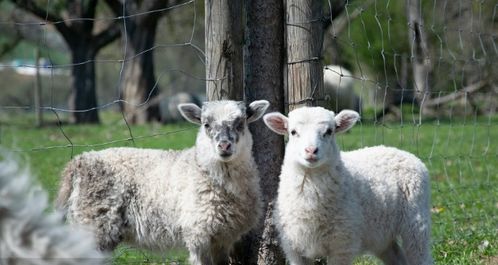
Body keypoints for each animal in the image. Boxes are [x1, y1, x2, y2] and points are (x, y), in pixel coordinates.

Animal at [55, 99, 268, 264]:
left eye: (241, 122)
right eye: (206, 124)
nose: (224, 146)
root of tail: (78, 162)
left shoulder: (223, 238)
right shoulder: (198, 234)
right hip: (92, 225)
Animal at [264, 106, 432, 262]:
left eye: (329, 131)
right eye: (293, 132)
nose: (311, 150)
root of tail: (403, 152)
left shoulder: (342, 245)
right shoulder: (294, 249)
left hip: (416, 221)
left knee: (421, 254)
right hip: (381, 235)